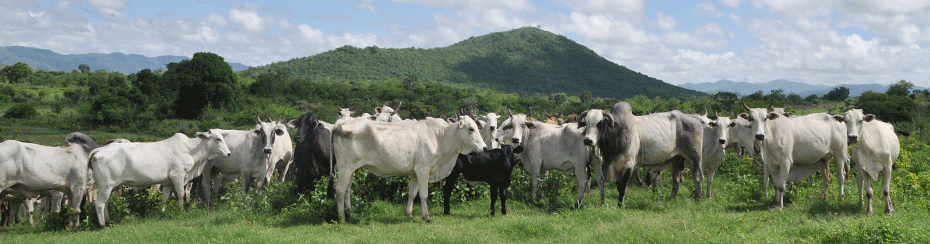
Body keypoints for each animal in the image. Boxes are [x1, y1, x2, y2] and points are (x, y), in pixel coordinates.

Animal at [89, 130, 230, 227]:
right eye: (218, 139)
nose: (228, 153)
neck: (191, 150)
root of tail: (99, 149)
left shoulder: (167, 182)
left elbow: (165, 198)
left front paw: (163, 213)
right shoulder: (177, 176)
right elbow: (181, 195)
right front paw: (182, 211)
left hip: (108, 186)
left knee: (105, 202)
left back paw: (108, 220)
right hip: (106, 185)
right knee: (99, 203)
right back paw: (103, 225)